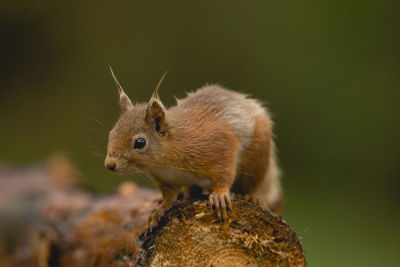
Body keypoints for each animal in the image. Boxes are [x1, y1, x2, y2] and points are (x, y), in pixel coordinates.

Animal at [104, 68, 282, 227]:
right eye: (111, 133)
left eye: (140, 142)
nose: (110, 165)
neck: (165, 163)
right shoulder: (165, 179)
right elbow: (169, 196)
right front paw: (160, 209)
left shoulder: (221, 145)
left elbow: (223, 174)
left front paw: (220, 194)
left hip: (257, 158)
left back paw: (252, 197)